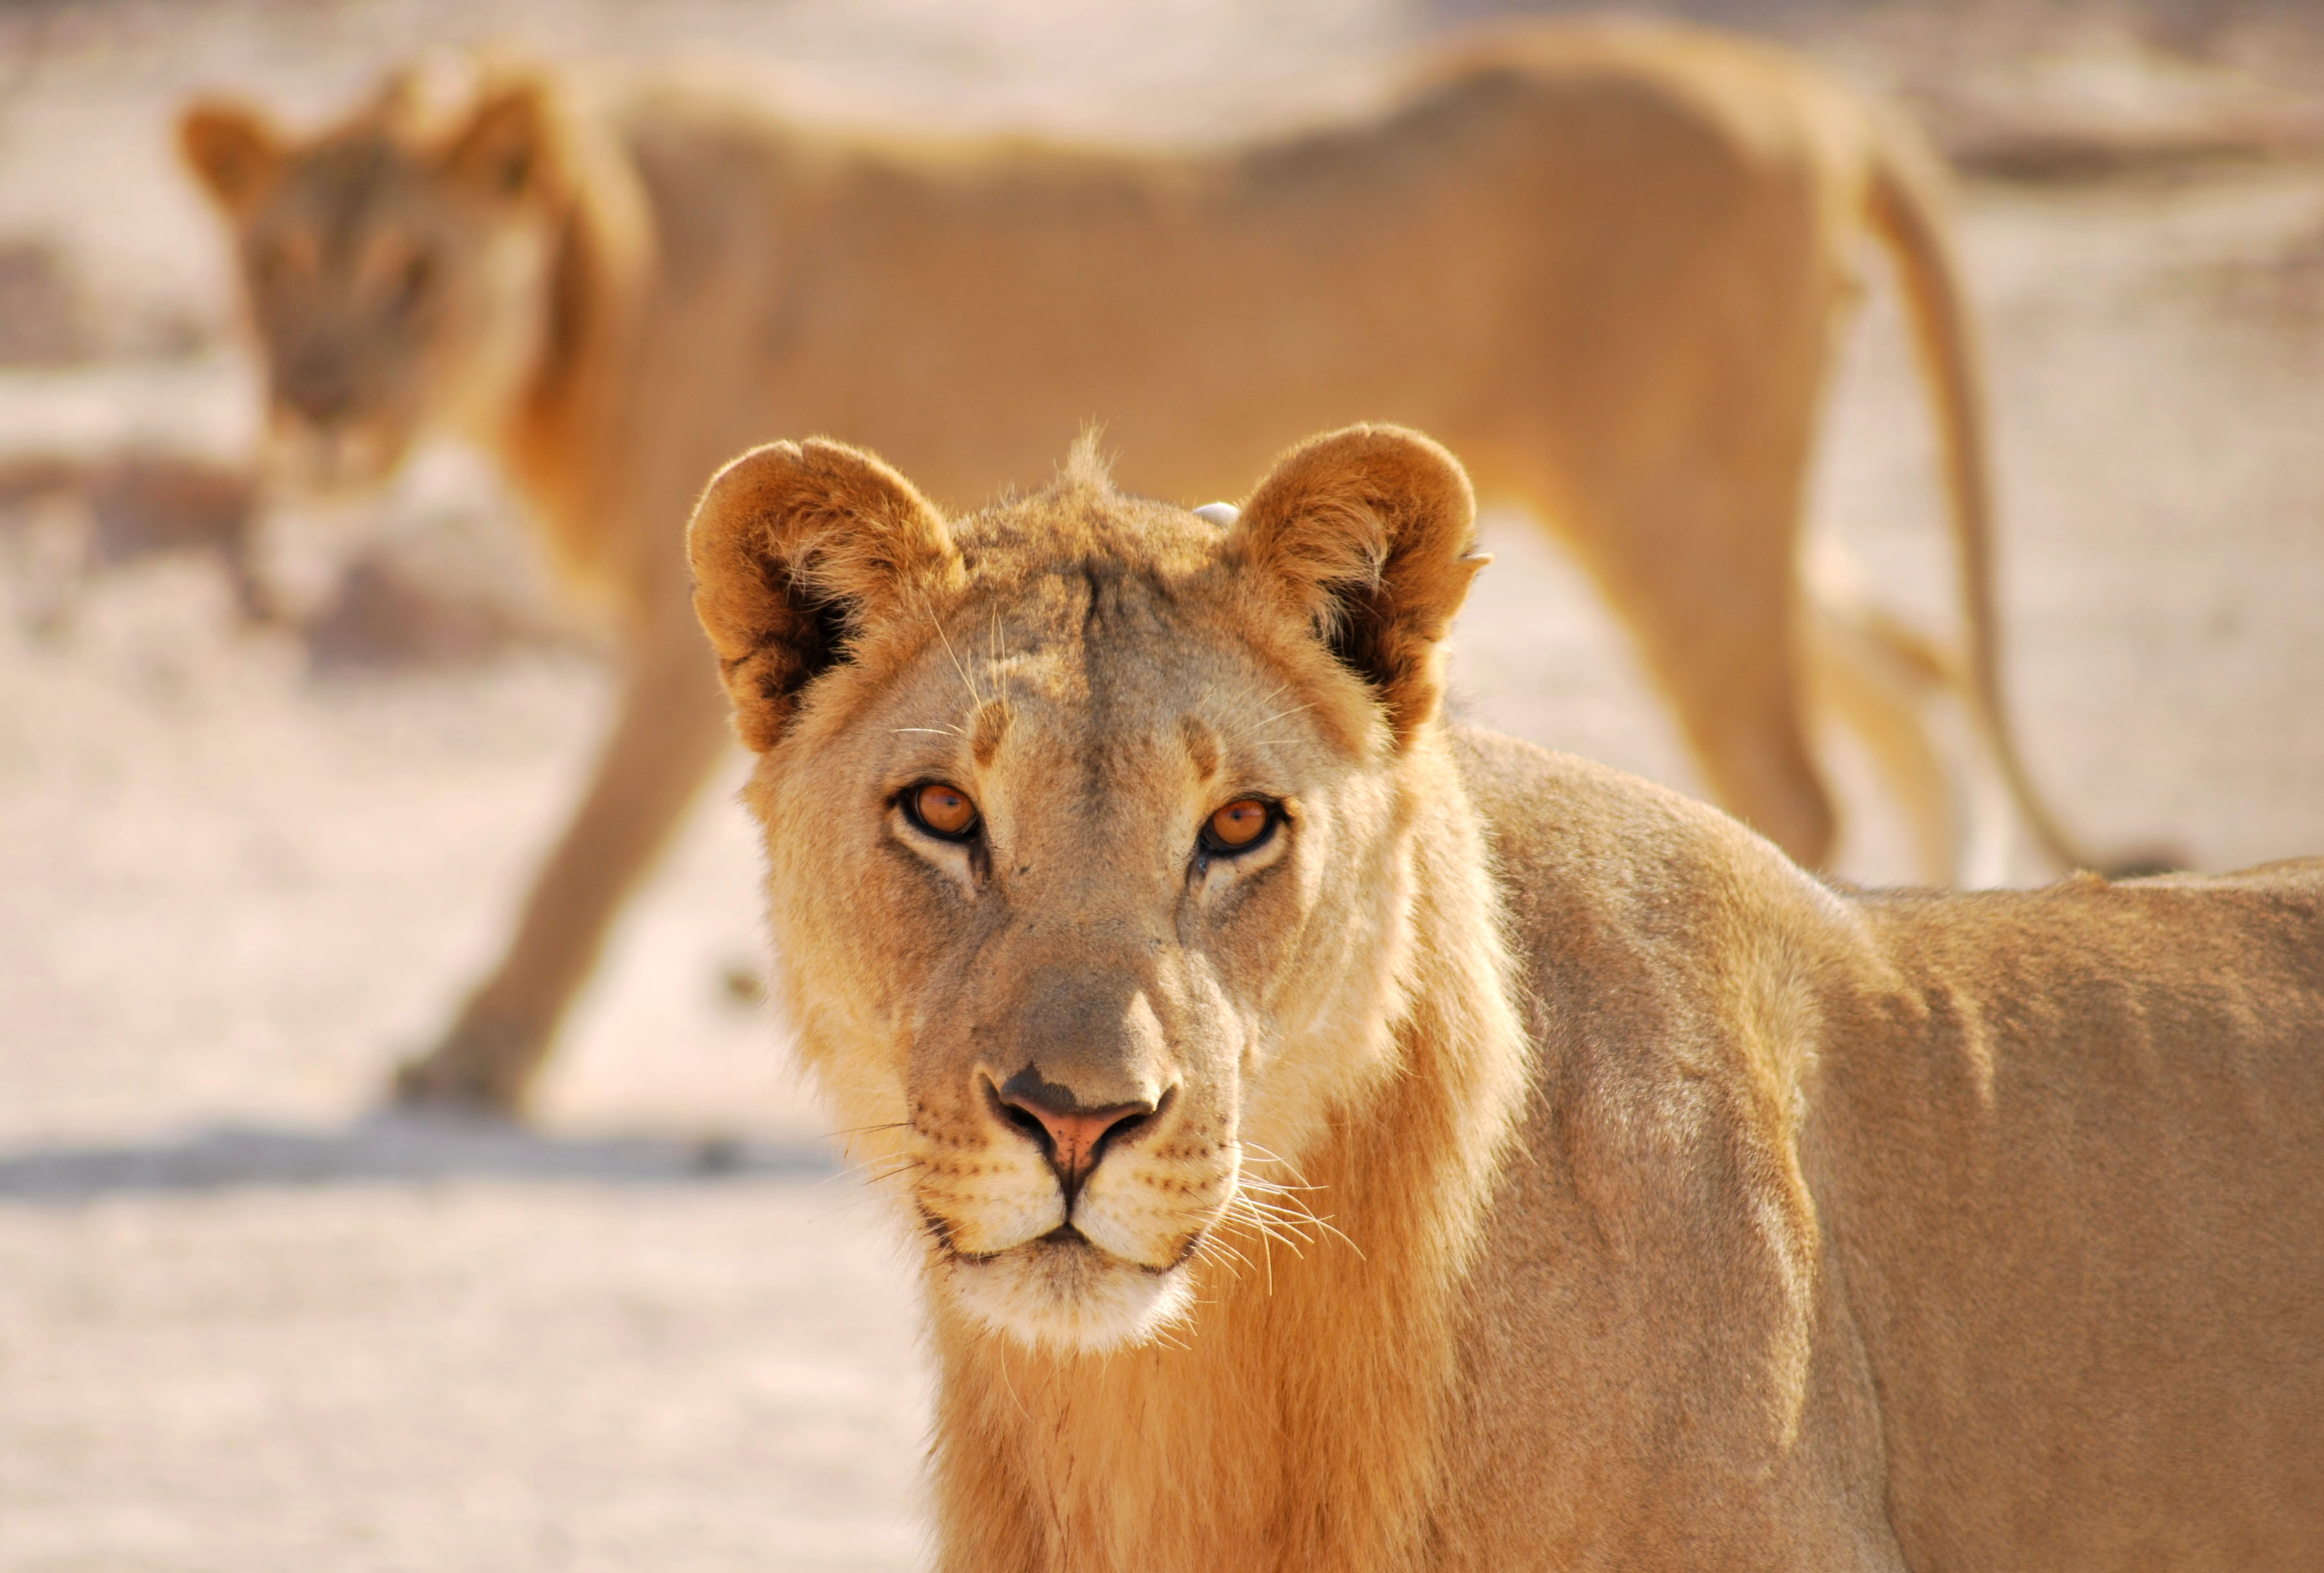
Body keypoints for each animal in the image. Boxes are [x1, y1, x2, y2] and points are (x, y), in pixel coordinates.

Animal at [182, 23, 2107, 1113]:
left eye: (415, 271)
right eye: (278, 262)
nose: (317, 401)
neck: (601, 266)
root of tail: (1818, 98)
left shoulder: (694, 639)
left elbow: (576, 857)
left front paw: (466, 1059)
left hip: (1680, 490)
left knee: (1798, 762)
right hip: (1716, 501)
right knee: (1915, 666)